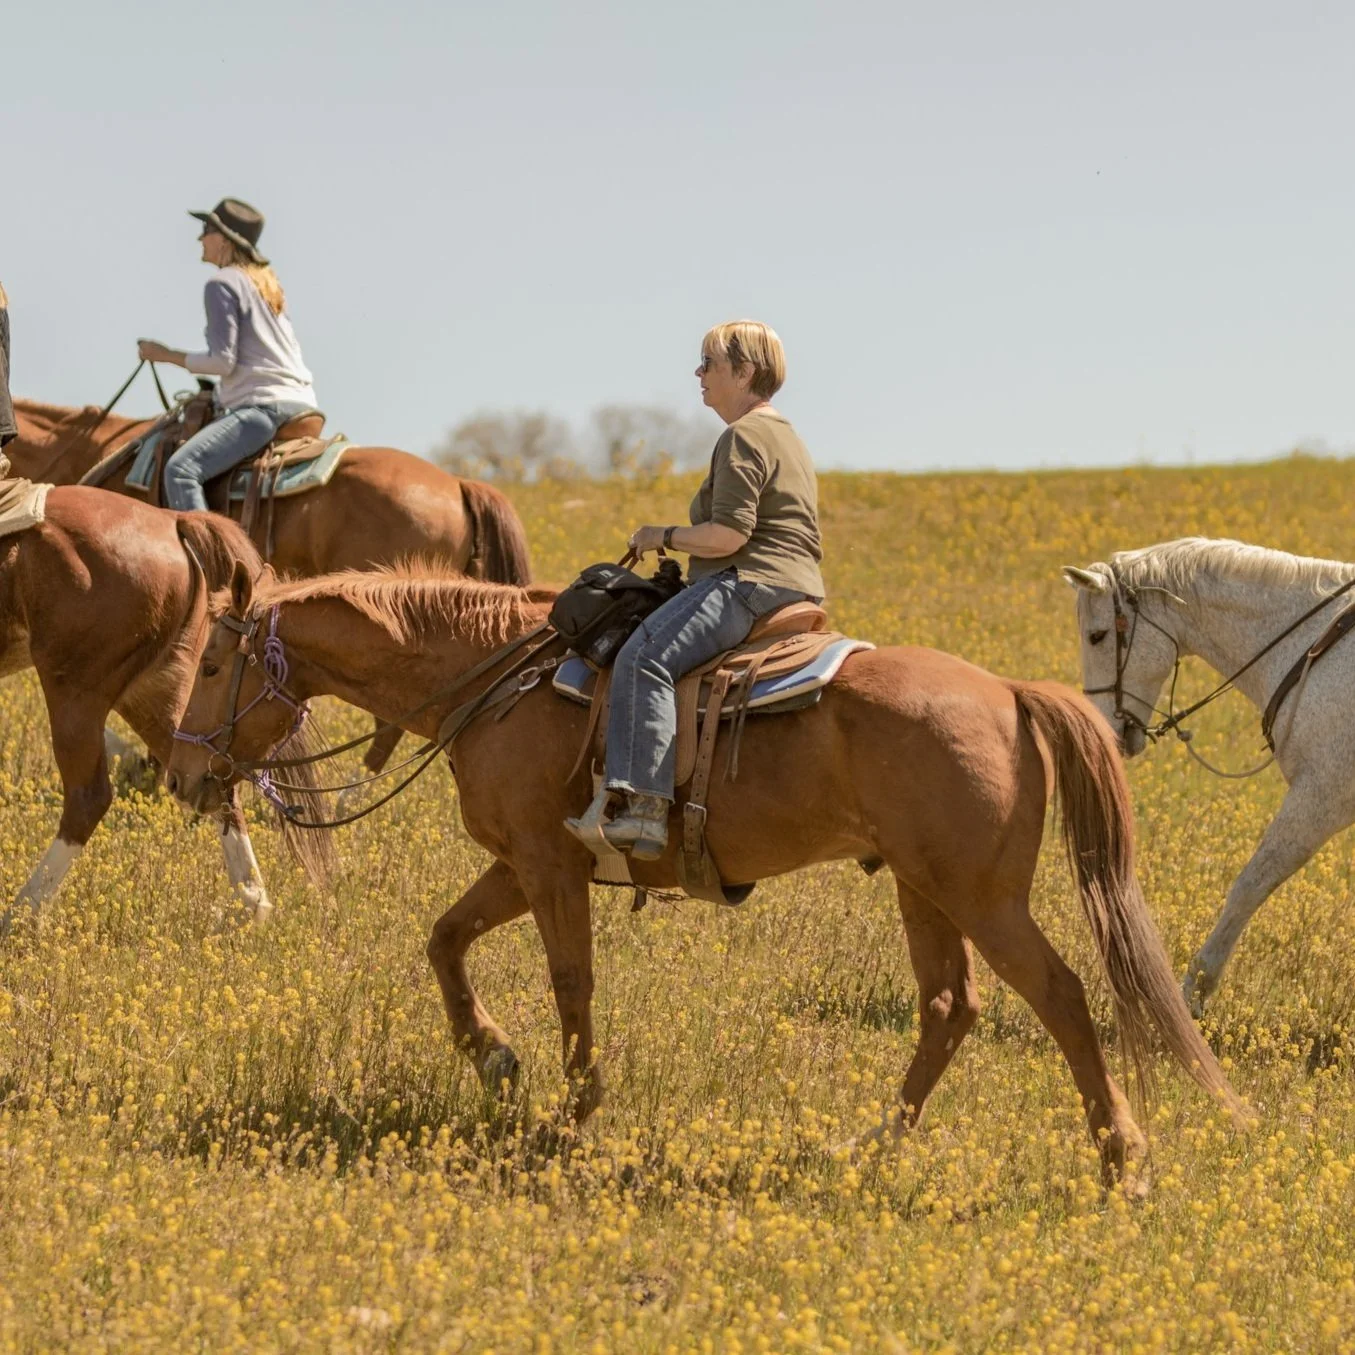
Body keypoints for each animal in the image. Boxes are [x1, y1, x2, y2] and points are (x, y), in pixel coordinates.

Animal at [0, 486, 329, 929]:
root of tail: (173, 521)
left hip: (75, 691)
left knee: (89, 798)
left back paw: (21, 913)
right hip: (151, 693)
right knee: (209, 778)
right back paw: (252, 902)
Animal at [163, 563, 1245, 1183]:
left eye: (213, 664)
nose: (178, 769)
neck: (497, 674)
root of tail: (1010, 692)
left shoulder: (548, 869)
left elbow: (570, 982)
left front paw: (570, 1114)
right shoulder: (524, 863)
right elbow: (443, 939)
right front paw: (495, 1057)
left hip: (979, 894)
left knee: (1059, 994)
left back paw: (1119, 1154)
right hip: (922, 885)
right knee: (949, 1006)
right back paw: (869, 1146)